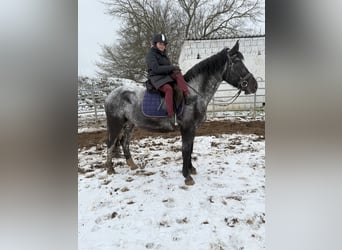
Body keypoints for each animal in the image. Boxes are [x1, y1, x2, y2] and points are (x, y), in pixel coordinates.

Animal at [103, 40, 256, 186]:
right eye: (237, 63)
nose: (254, 85)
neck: (193, 94)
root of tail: (110, 95)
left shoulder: (193, 128)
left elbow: (191, 148)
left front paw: (191, 169)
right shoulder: (187, 127)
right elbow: (186, 149)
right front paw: (187, 176)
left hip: (130, 124)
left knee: (124, 142)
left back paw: (132, 165)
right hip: (115, 124)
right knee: (111, 143)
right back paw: (110, 169)